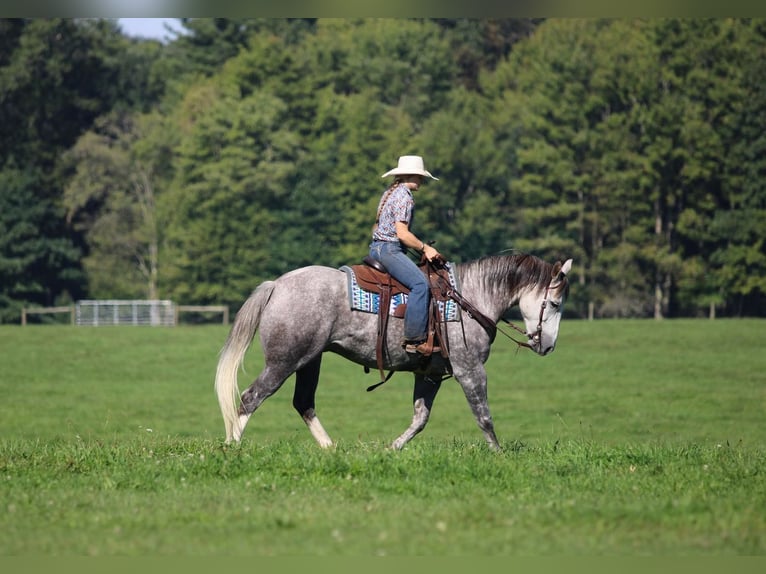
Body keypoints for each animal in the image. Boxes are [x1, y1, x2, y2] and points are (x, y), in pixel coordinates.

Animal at [215, 253, 573, 450]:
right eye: (555, 304)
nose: (548, 346)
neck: (470, 297)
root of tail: (276, 285)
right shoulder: (469, 369)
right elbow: (483, 415)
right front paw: (497, 455)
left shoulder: (430, 375)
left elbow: (420, 418)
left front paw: (392, 448)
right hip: (283, 361)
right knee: (250, 398)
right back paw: (232, 447)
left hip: (309, 361)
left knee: (303, 402)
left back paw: (331, 448)